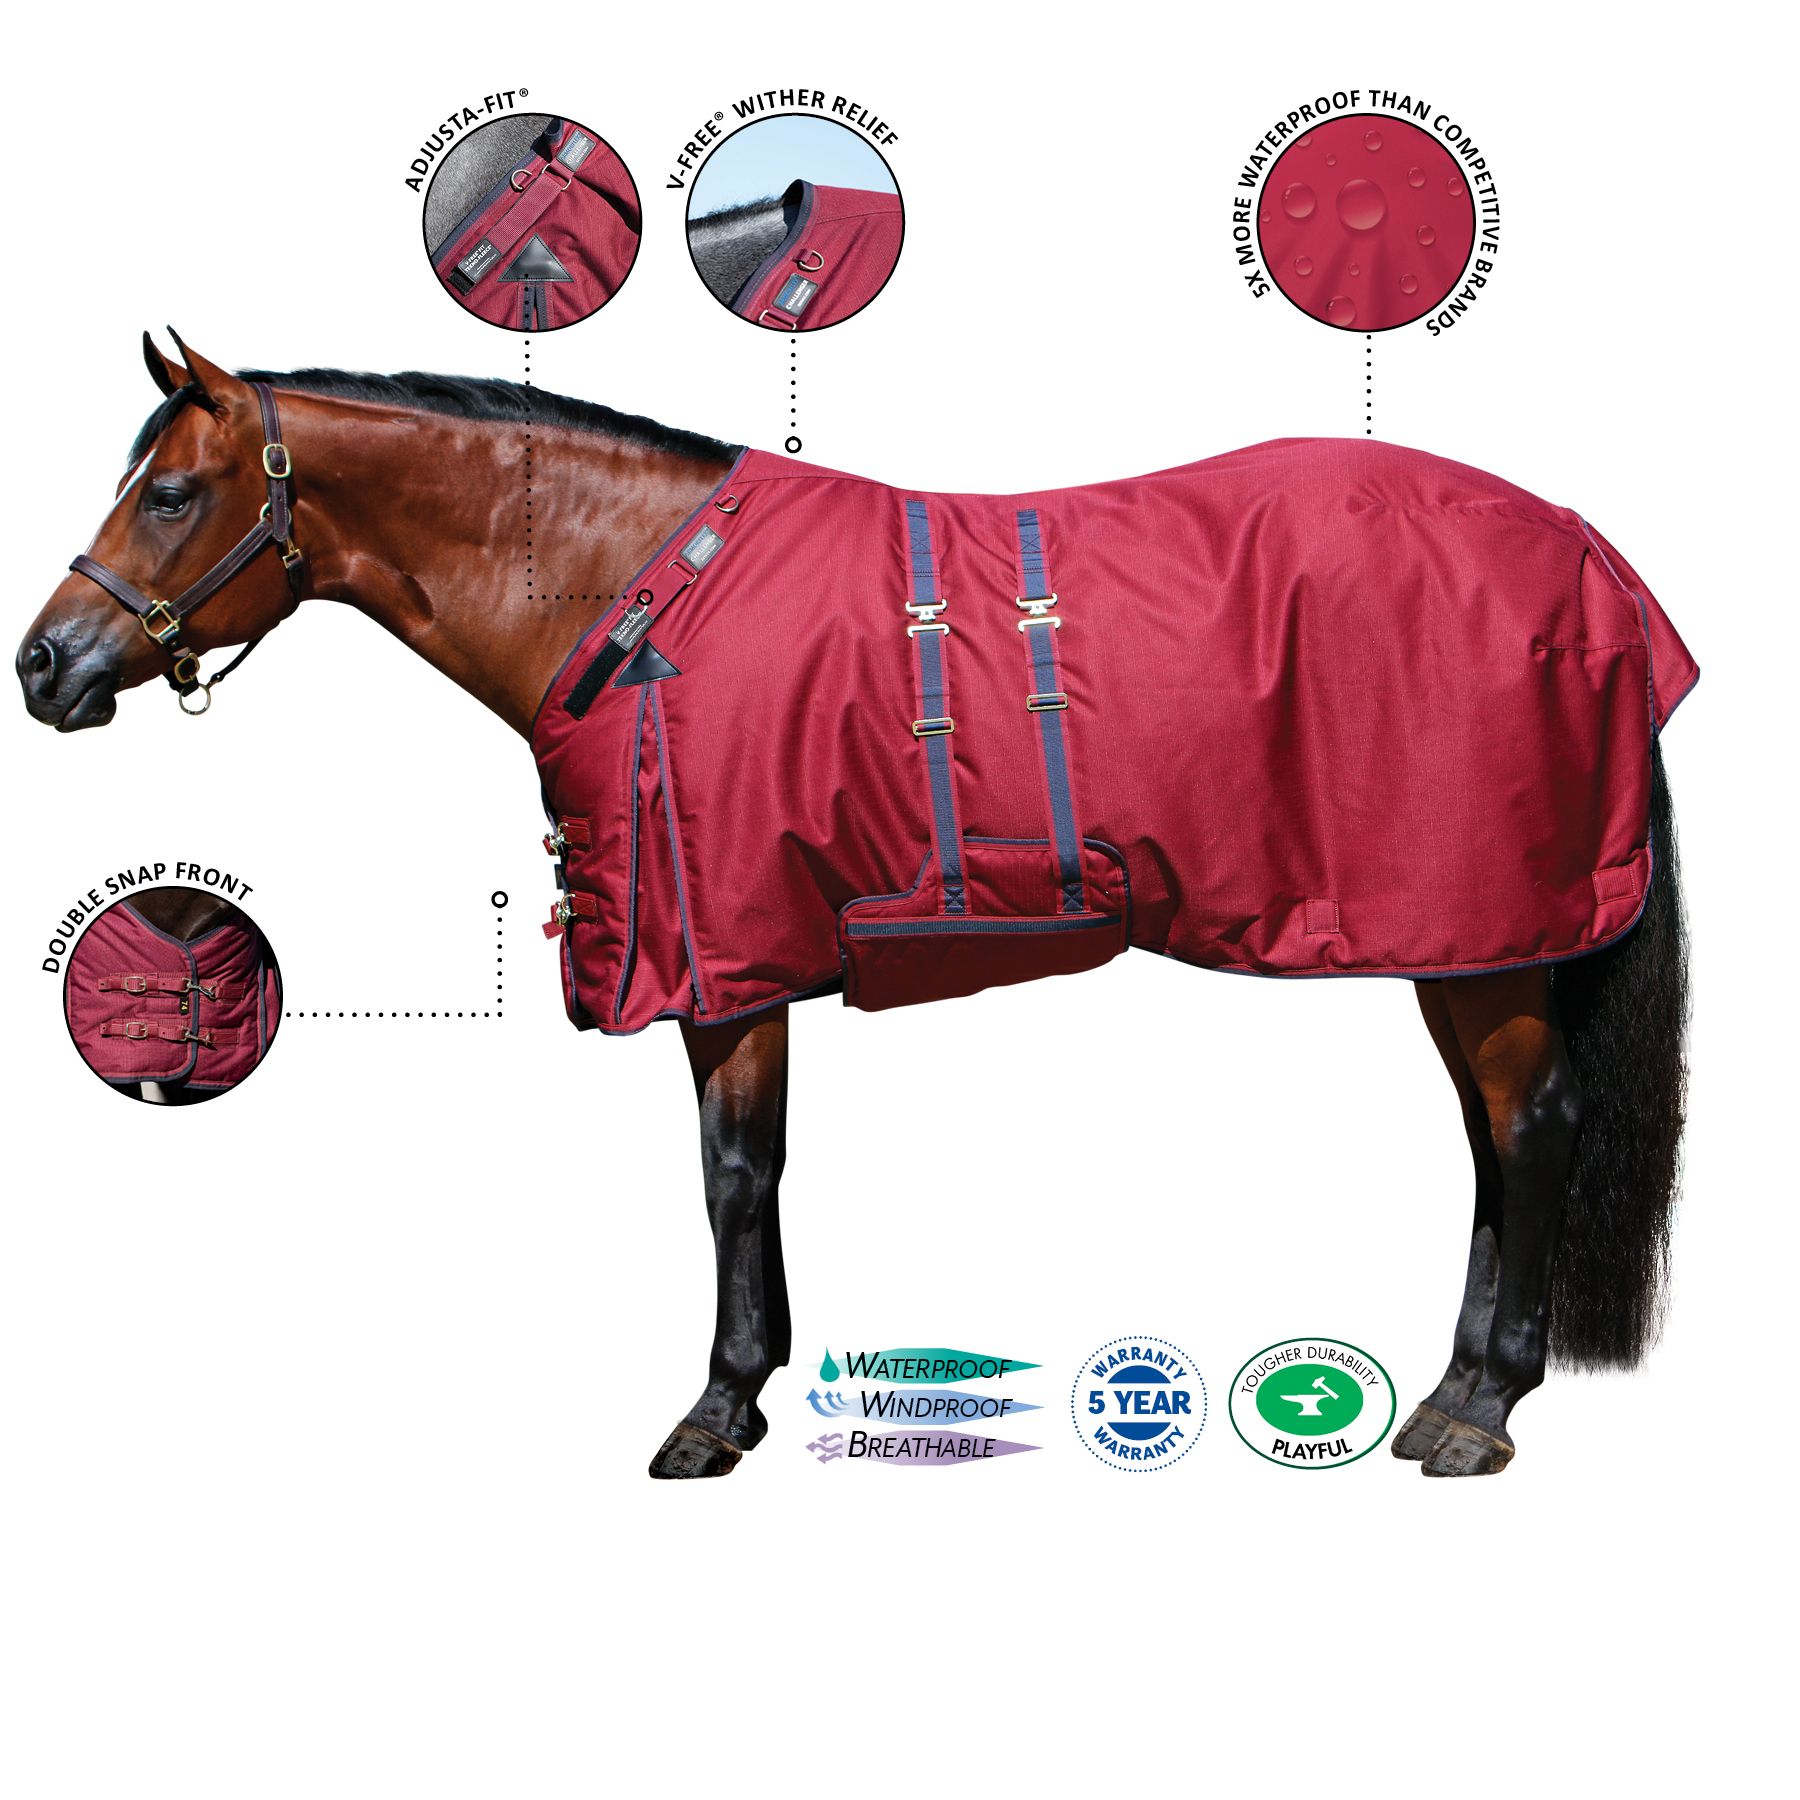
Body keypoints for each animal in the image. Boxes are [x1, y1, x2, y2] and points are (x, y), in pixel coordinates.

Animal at [17, 333, 1693, 1479]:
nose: (43, 666)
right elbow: (746, 1176)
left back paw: (1485, 1406)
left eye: (172, 493)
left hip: (1480, 936)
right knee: (1490, 1141)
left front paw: (715, 1409)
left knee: (1531, 1129)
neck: (636, 600)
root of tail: (1589, 559)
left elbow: (733, 1178)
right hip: (1467, 943)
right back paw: (1453, 1387)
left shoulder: (727, 962)